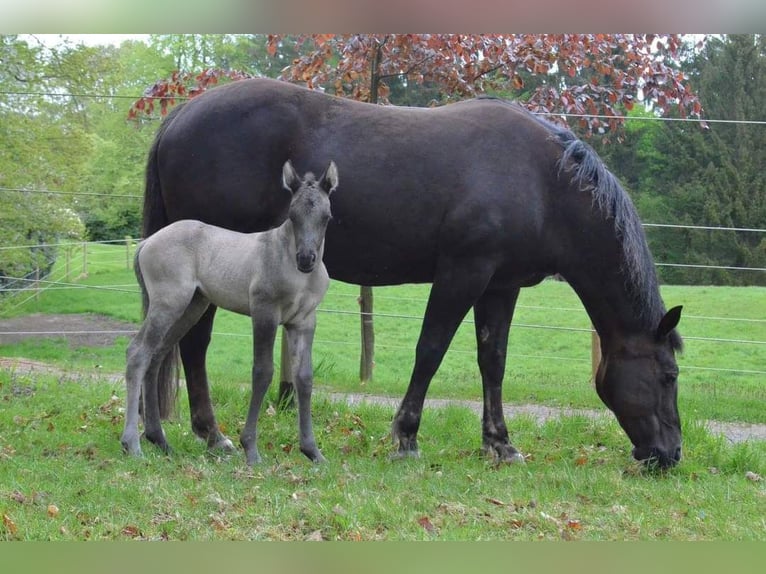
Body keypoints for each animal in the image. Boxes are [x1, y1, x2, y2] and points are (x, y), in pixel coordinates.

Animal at [121, 160, 338, 465]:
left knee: (156, 355)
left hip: (192, 306)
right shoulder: (264, 312)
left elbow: (304, 379)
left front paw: (313, 452)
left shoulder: (304, 321)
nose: (306, 259)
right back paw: (132, 444)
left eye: (326, 217)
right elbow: (262, 372)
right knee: (138, 352)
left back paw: (160, 440)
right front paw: (251, 449)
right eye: (292, 215)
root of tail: (146, 242)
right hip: (168, 303)